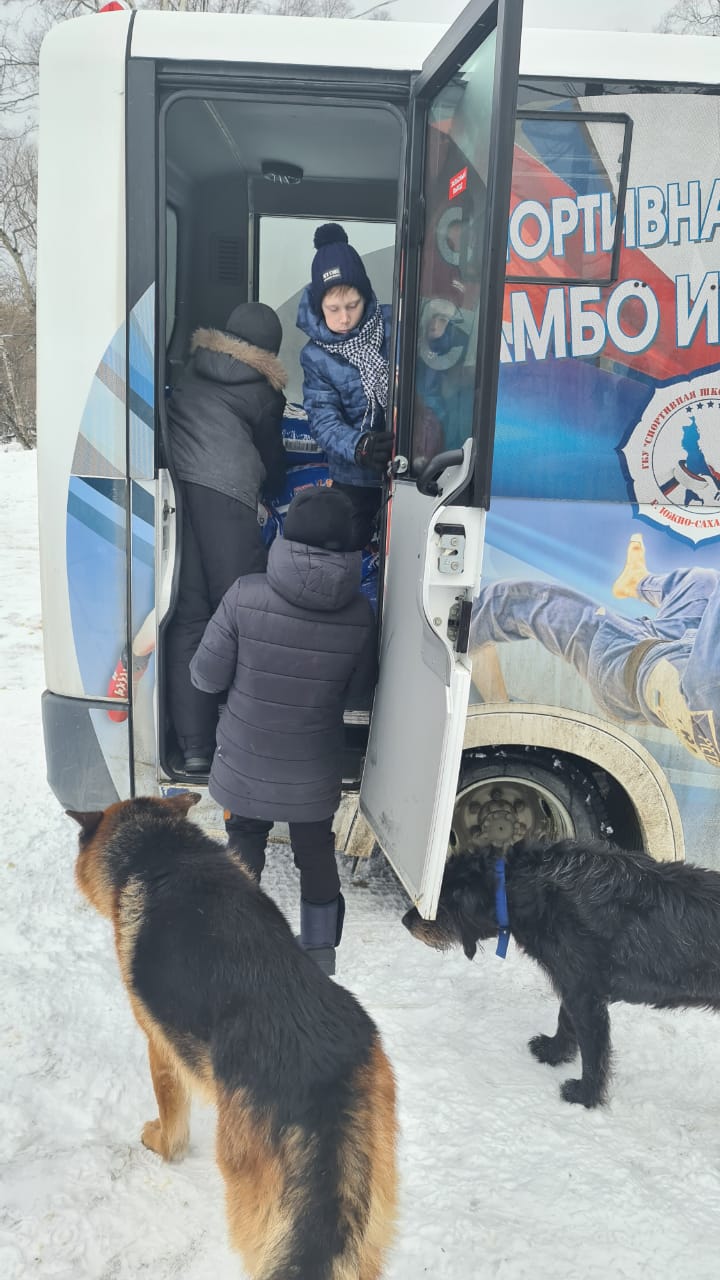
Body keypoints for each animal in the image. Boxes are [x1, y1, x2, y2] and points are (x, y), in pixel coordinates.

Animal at [69, 793, 394, 1274]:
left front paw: (161, 1143)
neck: (161, 846)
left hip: (255, 1208)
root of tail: (322, 1074)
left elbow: (172, 1121)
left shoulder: (160, 1047)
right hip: (365, 1229)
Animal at [399, 839, 717, 1111]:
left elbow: (593, 1053)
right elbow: (565, 1021)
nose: (405, 920)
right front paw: (554, 1052)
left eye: (442, 899)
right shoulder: (571, 983)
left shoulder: (585, 996)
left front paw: (585, 1095)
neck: (525, 886)